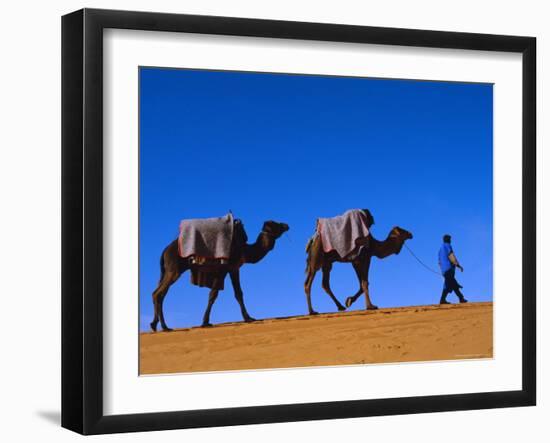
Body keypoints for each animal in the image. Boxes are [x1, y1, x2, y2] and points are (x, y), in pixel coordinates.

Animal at [151, 220, 288, 332]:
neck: (244, 249)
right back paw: (163, 327)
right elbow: (213, 294)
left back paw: (157, 325)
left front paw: (249, 318)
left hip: (168, 271)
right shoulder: (223, 269)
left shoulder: (234, 269)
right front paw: (205, 322)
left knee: (160, 294)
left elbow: (239, 293)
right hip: (174, 270)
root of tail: (165, 251)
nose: (286, 225)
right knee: (158, 293)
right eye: (275, 224)